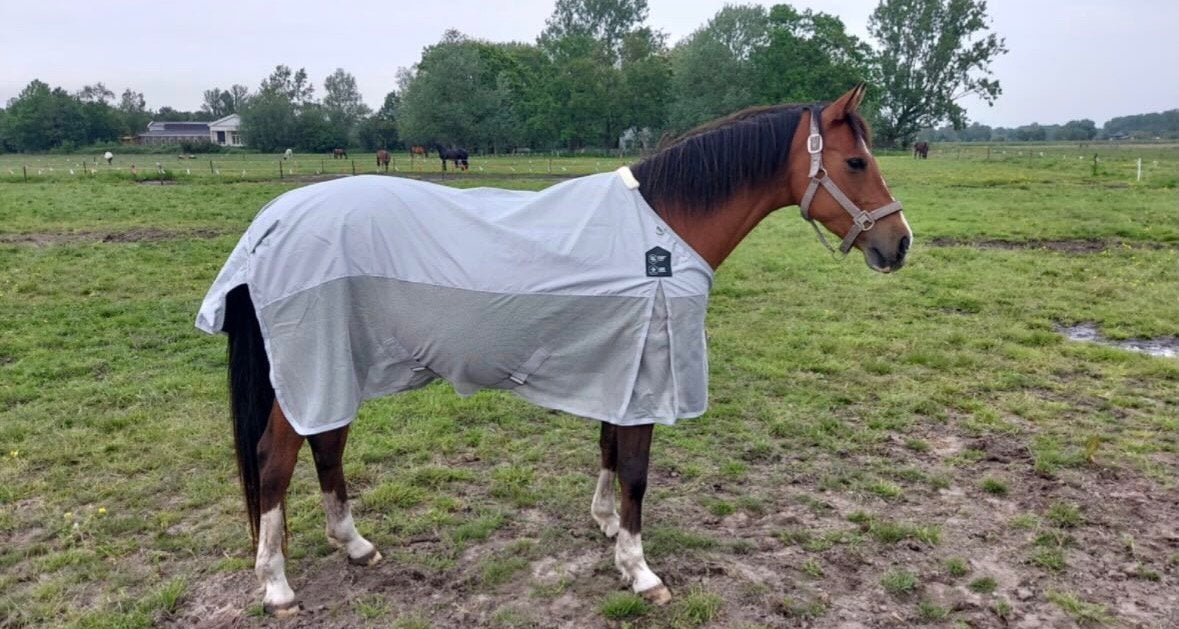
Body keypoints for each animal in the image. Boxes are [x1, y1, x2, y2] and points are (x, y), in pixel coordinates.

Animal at [196, 85, 911, 617]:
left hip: (340, 367)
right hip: (311, 366)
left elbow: (609, 449)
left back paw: (354, 545)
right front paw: (640, 570)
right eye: (855, 163)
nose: (898, 243)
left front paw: (606, 527)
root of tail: (273, 220)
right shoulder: (647, 371)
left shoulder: (622, 368)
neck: (662, 231)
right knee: (275, 460)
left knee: (327, 446)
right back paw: (277, 585)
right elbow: (636, 470)